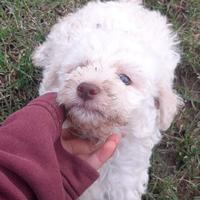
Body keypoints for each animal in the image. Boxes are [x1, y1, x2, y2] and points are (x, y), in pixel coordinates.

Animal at [32, 0, 182, 199]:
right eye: (80, 67)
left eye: (125, 79)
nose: (86, 88)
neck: (95, 136)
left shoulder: (124, 178)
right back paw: (40, 56)